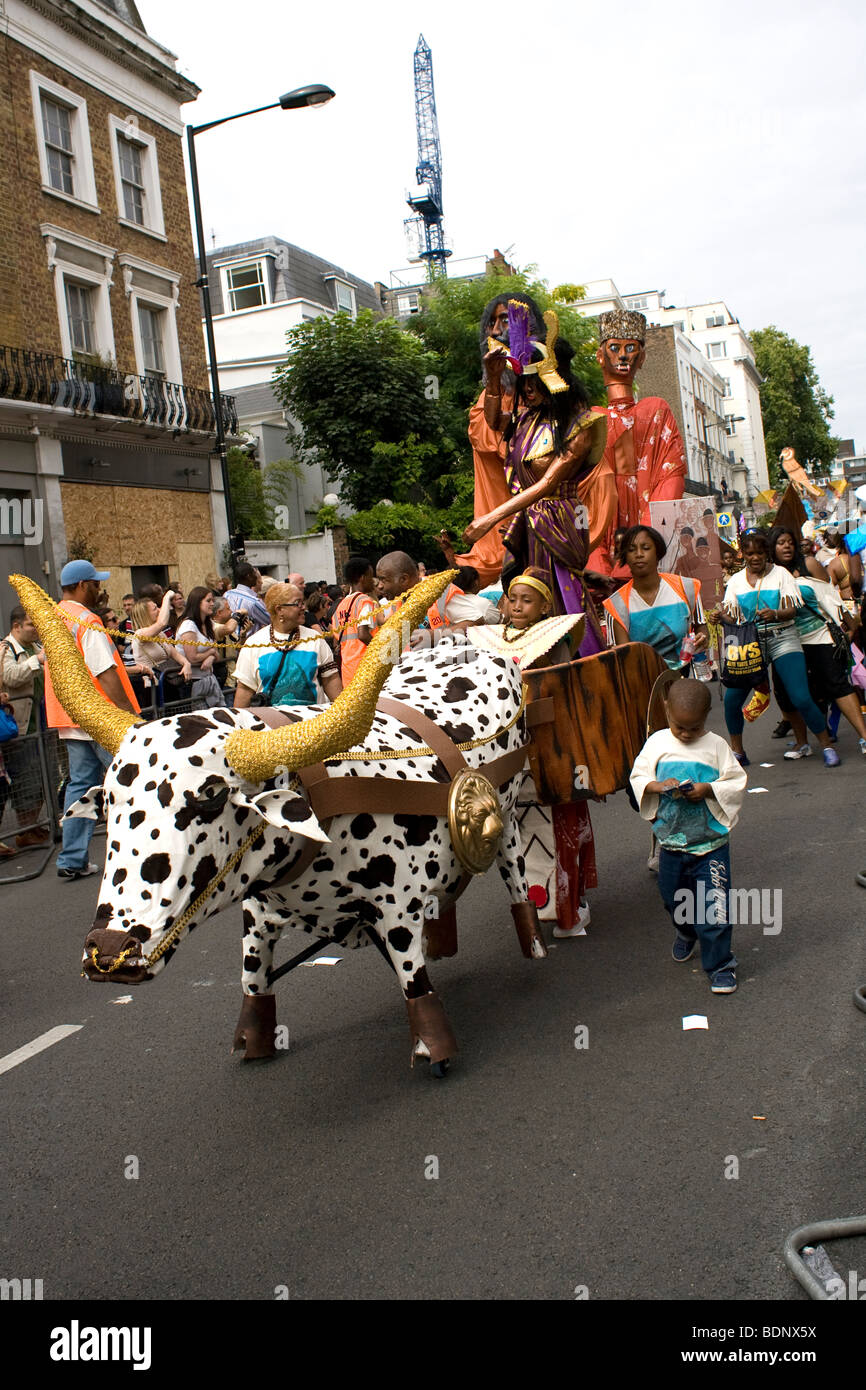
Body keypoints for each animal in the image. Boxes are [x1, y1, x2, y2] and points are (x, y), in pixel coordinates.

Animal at [77, 639, 536, 1073]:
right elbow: (254, 983)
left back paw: (534, 941)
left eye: (211, 796)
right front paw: (254, 1040)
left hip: (509, 821)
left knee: (516, 880)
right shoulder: (257, 915)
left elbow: (415, 984)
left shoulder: (397, 912)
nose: (110, 949)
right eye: (108, 801)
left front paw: (433, 1049)